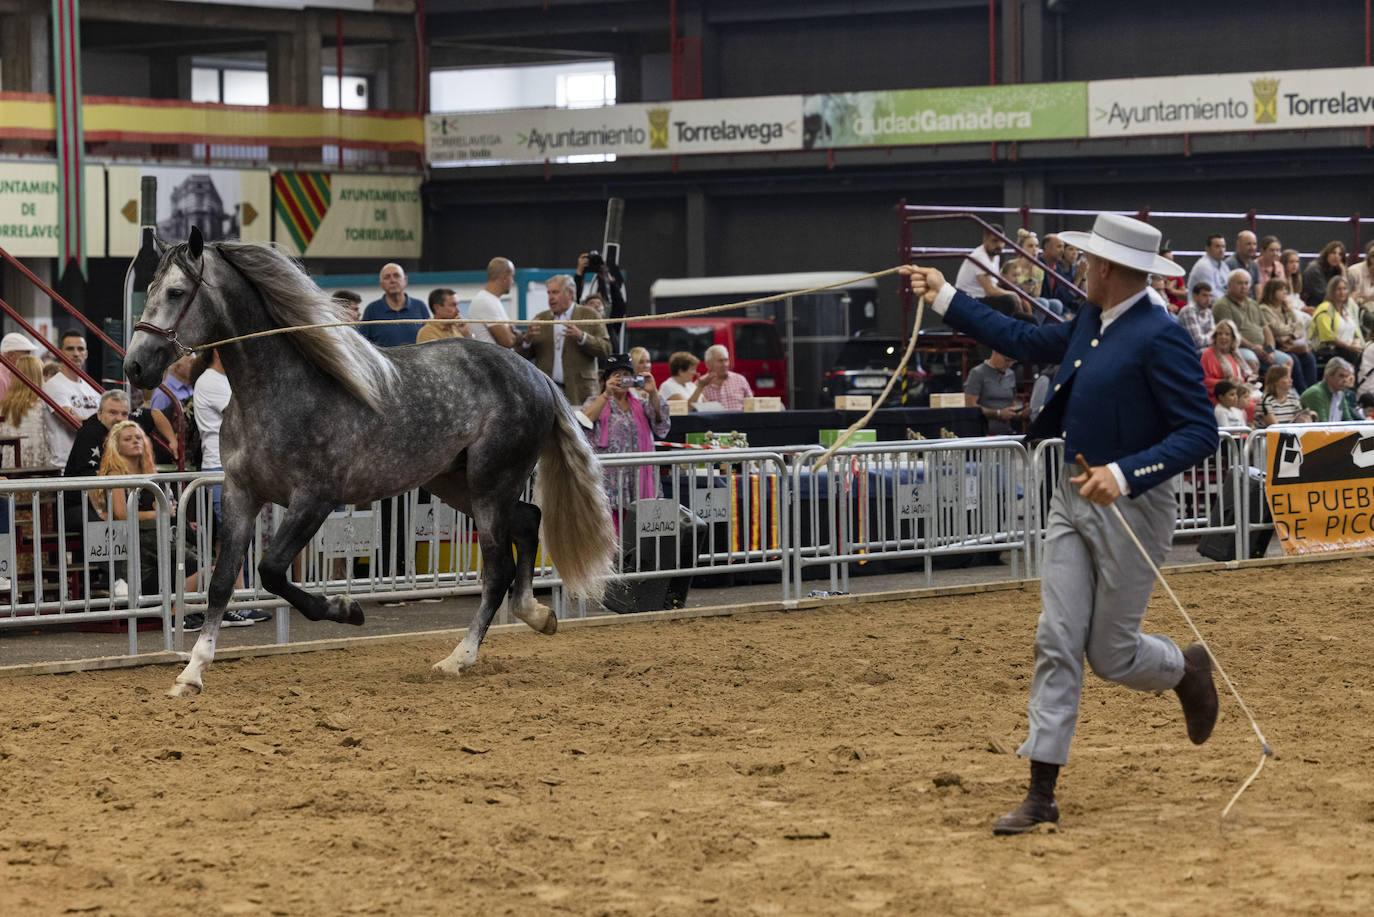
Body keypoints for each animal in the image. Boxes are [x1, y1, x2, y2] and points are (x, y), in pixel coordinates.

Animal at [123, 228, 618, 695]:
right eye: (149, 288)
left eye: (176, 292)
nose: (134, 367)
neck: (278, 392)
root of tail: (534, 374)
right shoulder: (240, 494)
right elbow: (223, 581)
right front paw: (192, 672)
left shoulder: (315, 499)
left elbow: (270, 571)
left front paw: (348, 609)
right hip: (457, 485)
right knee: (529, 520)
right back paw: (536, 613)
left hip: (490, 485)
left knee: (498, 570)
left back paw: (459, 658)